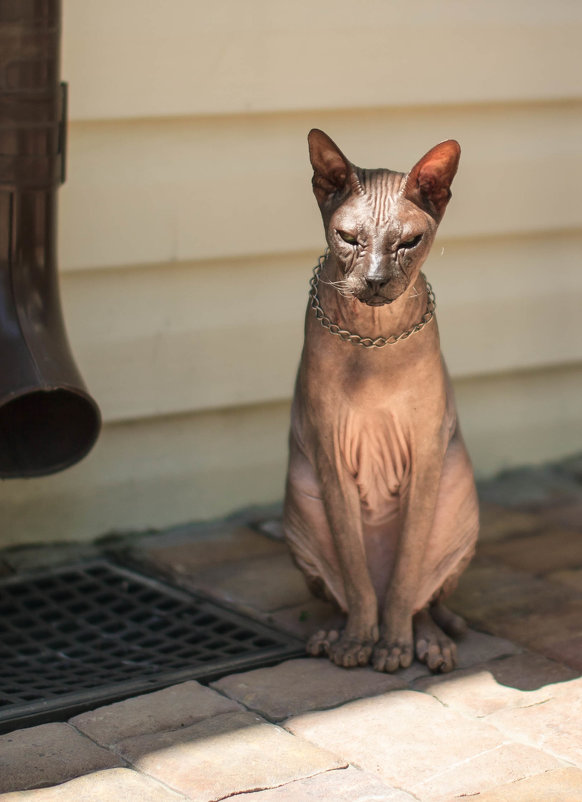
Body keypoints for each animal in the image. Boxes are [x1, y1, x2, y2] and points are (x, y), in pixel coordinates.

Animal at [282, 128, 480, 672]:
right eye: (349, 238)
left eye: (409, 242)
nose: (373, 280)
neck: (373, 339)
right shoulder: (330, 455)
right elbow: (355, 572)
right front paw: (359, 640)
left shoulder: (426, 454)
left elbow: (406, 574)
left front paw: (391, 644)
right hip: (301, 504)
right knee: (341, 592)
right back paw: (334, 633)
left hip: (456, 496)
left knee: (423, 602)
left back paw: (428, 643)